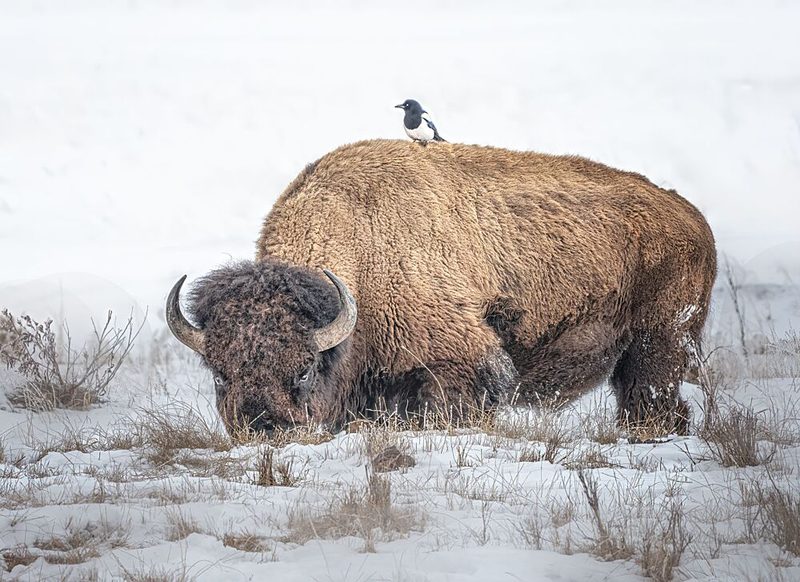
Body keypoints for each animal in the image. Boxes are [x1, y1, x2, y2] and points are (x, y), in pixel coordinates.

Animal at [166, 139, 716, 436]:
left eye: (303, 368)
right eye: (219, 373)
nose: (261, 428)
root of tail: (690, 214)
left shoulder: (461, 360)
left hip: (660, 344)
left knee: (654, 400)